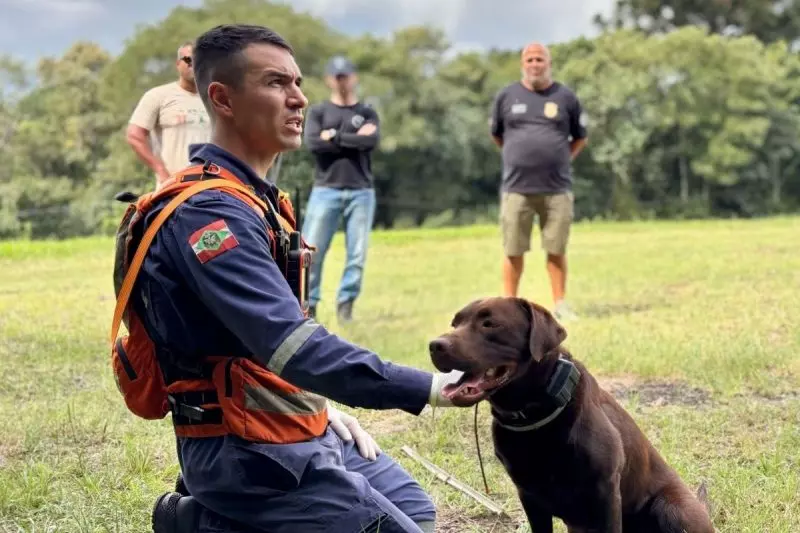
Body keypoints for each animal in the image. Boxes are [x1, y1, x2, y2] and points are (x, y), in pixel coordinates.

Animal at [428, 298, 716, 528]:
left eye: (490, 324)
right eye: (455, 323)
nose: (434, 345)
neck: (534, 416)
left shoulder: (605, 494)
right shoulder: (530, 497)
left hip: (672, 508)